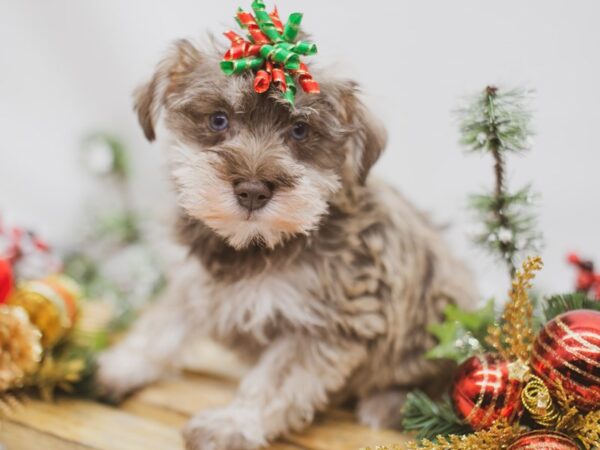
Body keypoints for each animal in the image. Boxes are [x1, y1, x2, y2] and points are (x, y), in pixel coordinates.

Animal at [96, 38, 476, 450]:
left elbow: (274, 382)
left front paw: (231, 424)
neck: (254, 244)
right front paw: (121, 366)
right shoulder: (193, 283)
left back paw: (389, 404)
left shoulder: (323, 326)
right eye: (218, 119)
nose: (252, 191)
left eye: (299, 130)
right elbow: (161, 325)